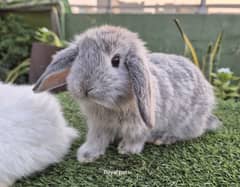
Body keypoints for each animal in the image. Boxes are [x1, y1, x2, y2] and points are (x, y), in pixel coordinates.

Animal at [32, 25, 220, 163]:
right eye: (79, 57)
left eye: (116, 60)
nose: (85, 87)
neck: (112, 105)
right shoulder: (99, 126)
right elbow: (96, 139)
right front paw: (86, 155)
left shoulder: (138, 125)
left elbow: (135, 137)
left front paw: (127, 150)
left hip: (187, 122)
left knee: (188, 133)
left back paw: (164, 138)